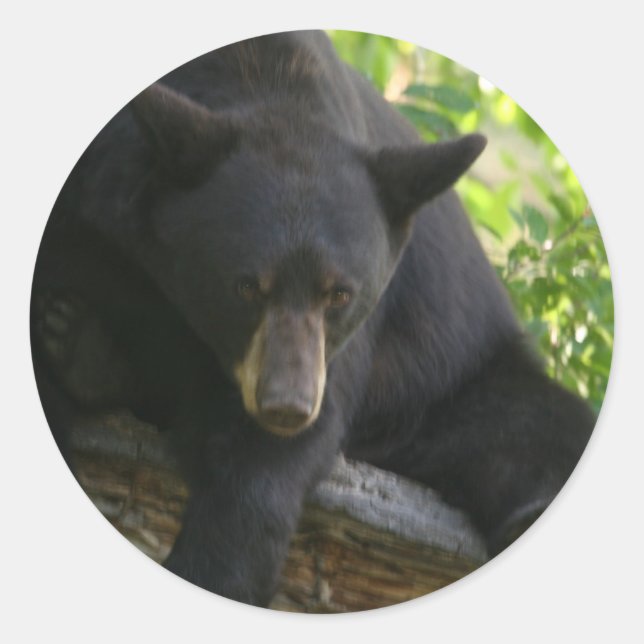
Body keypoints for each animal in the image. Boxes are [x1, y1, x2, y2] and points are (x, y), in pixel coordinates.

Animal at [31, 30, 596, 607]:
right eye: (246, 285)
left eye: (339, 294)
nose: (287, 405)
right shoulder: (89, 201)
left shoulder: (343, 347)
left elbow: (262, 476)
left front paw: (218, 568)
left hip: (451, 385)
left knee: (536, 426)